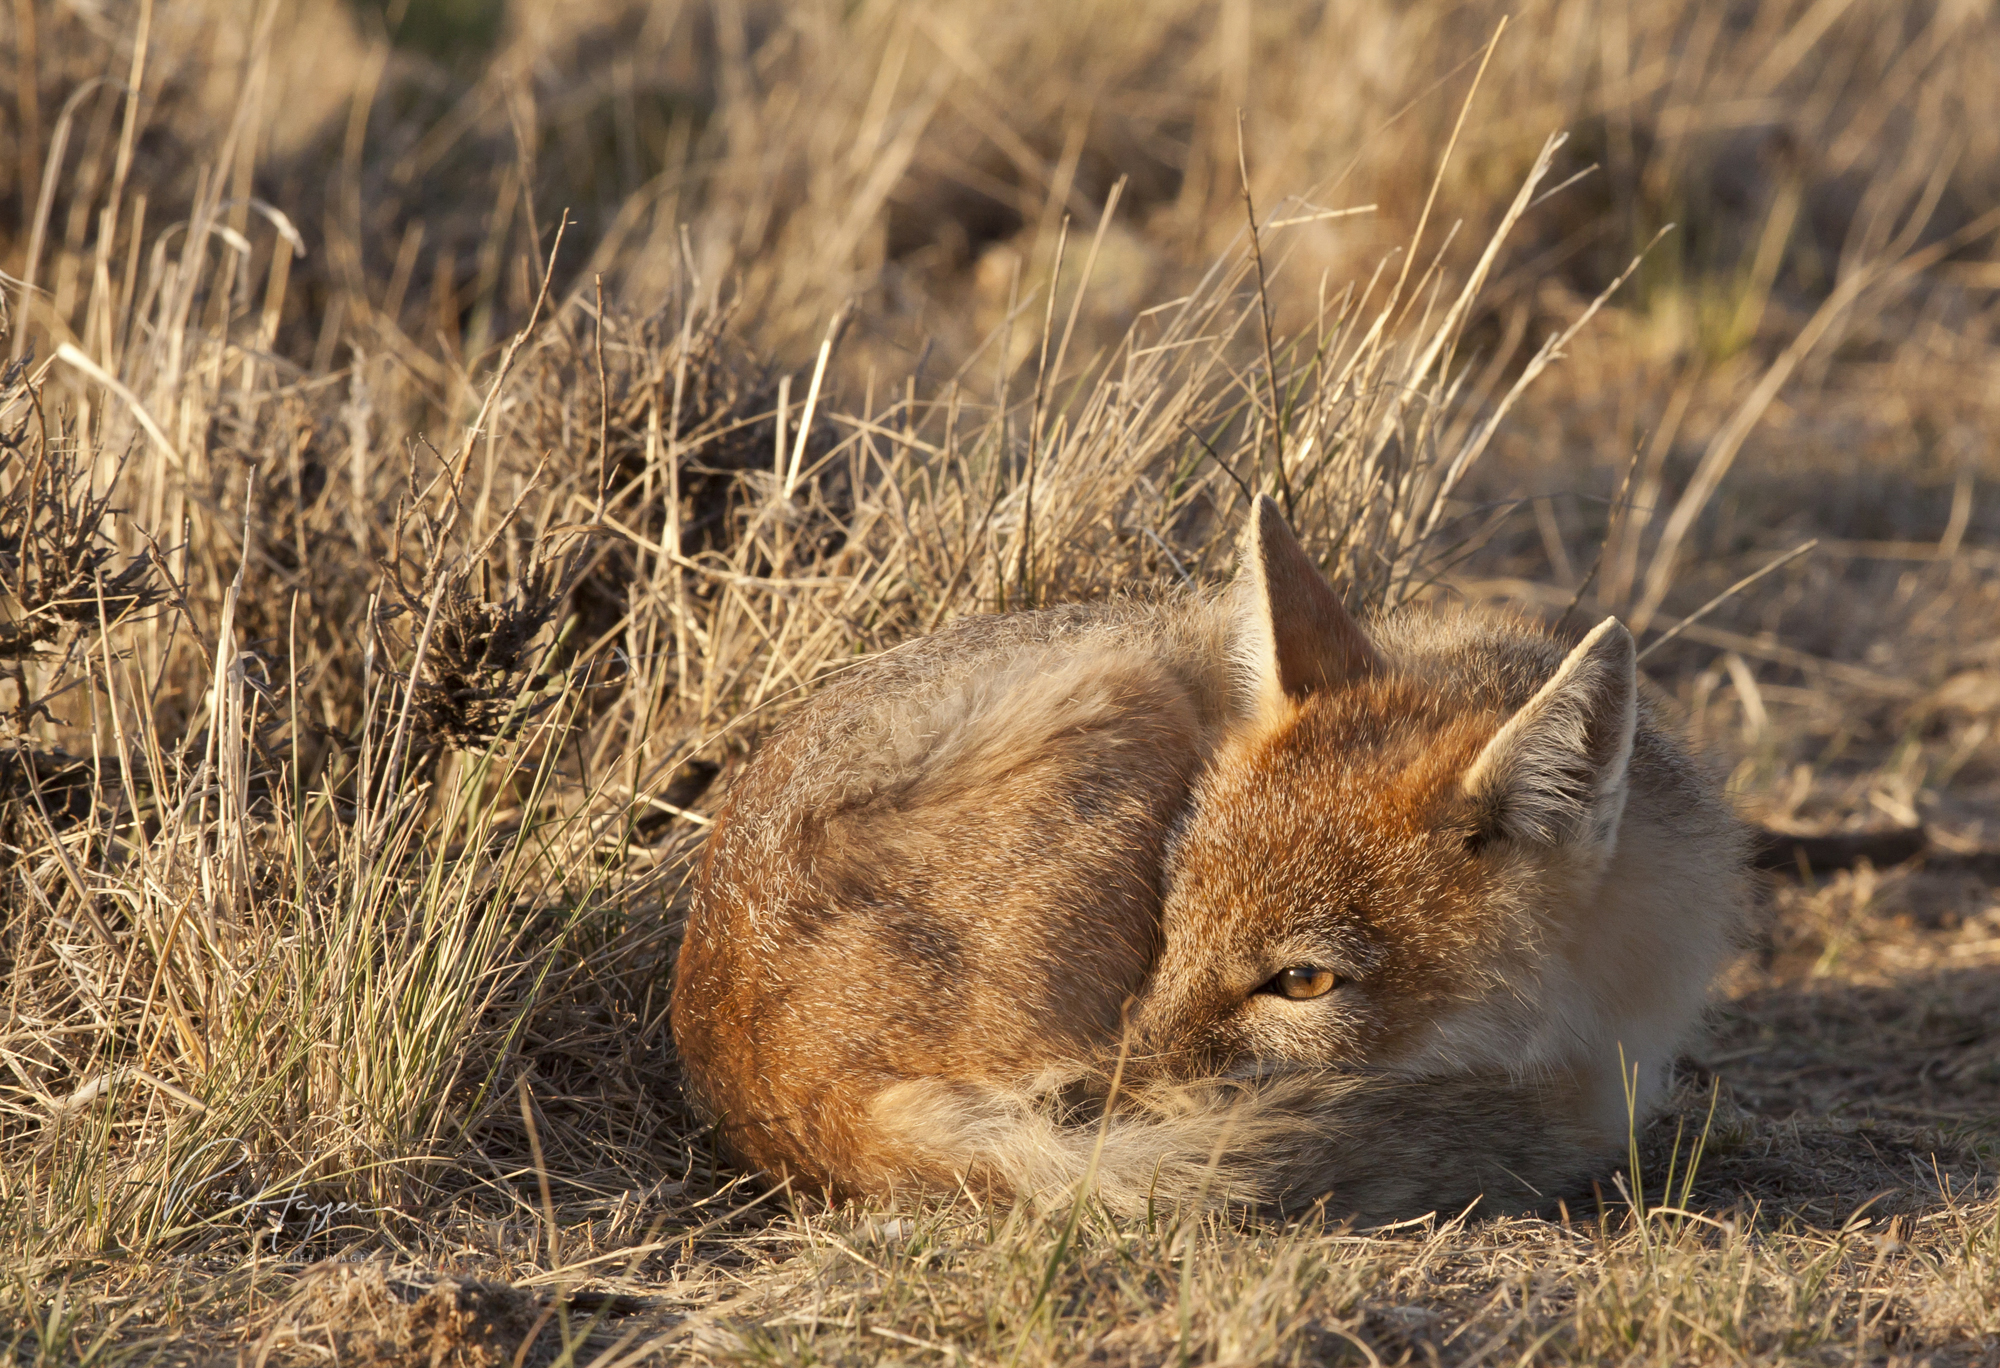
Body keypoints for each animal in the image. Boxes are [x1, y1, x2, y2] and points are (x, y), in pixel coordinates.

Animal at [672, 494, 1752, 1216]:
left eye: (1304, 981)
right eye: (1172, 915)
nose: (1120, 1083)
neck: (1600, 1016)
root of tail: (761, 1082)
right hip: (1130, 697)